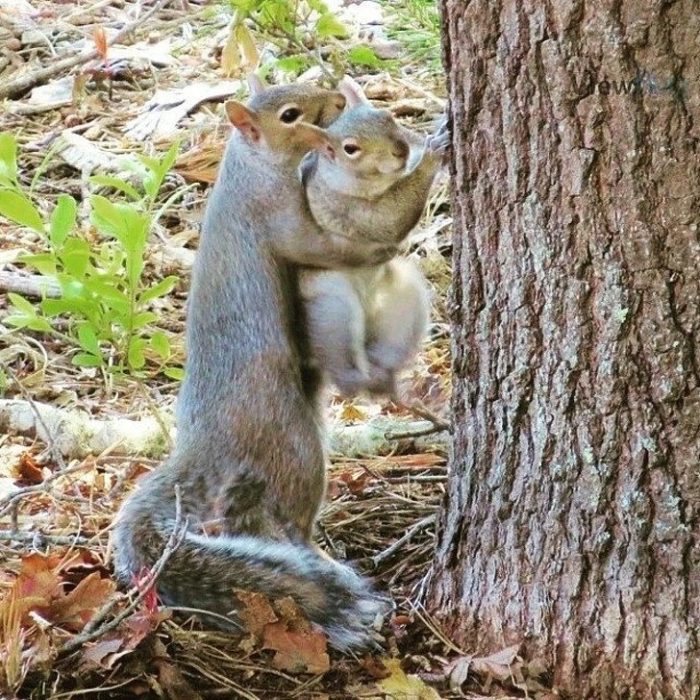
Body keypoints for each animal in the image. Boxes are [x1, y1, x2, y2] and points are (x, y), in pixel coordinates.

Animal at [296, 77, 448, 396]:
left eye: (387, 116)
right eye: (350, 149)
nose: (400, 150)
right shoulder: (348, 208)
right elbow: (391, 217)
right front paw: (434, 153)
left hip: (403, 296)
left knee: (386, 353)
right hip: (332, 305)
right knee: (344, 368)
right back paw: (359, 379)